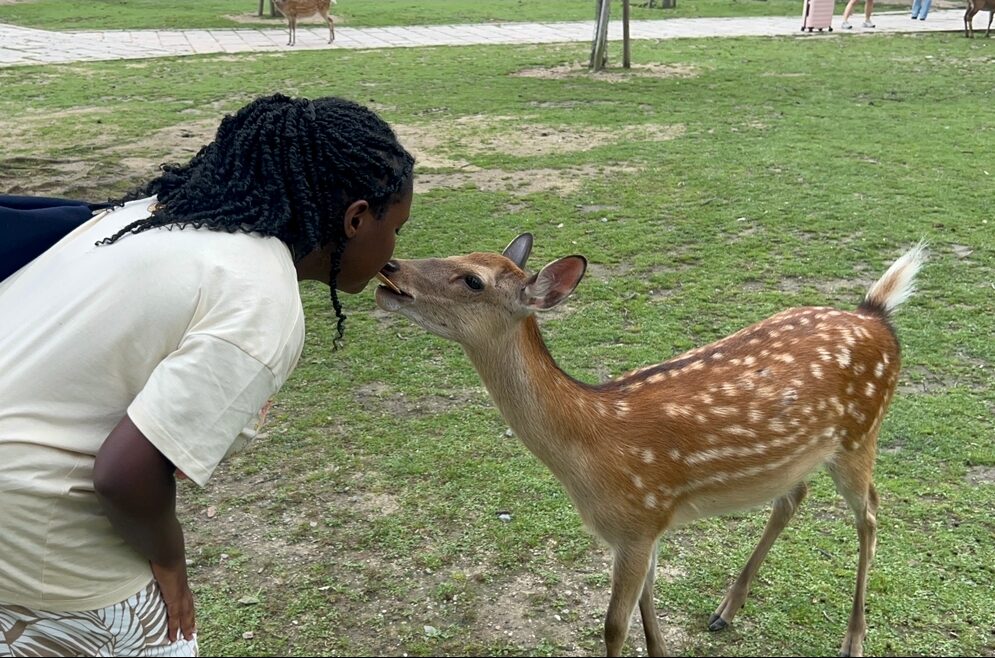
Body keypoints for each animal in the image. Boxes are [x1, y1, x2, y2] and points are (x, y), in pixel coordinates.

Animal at [375, 235, 927, 657]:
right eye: (461, 252)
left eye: (473, 280)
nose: (390, 266)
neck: (588, 448)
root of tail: (877, 316)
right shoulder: (649, 524)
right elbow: (647, 606)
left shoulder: (637, 520)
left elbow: (614, 626)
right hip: (800, 455)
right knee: (794, 496)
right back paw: (726, 609)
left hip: (861, 433)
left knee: (870, 513)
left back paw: (853, 640)